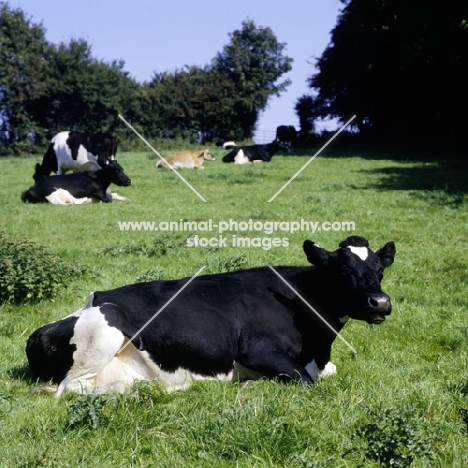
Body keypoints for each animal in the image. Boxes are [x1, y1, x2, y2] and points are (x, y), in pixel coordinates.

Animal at [26, 238, 394, 394]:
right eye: (344, 270)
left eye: (380, 270)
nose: (380, 302)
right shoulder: (257, 350)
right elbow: (306, 381)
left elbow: (327, 372)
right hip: (104, 329)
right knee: (70, 389)